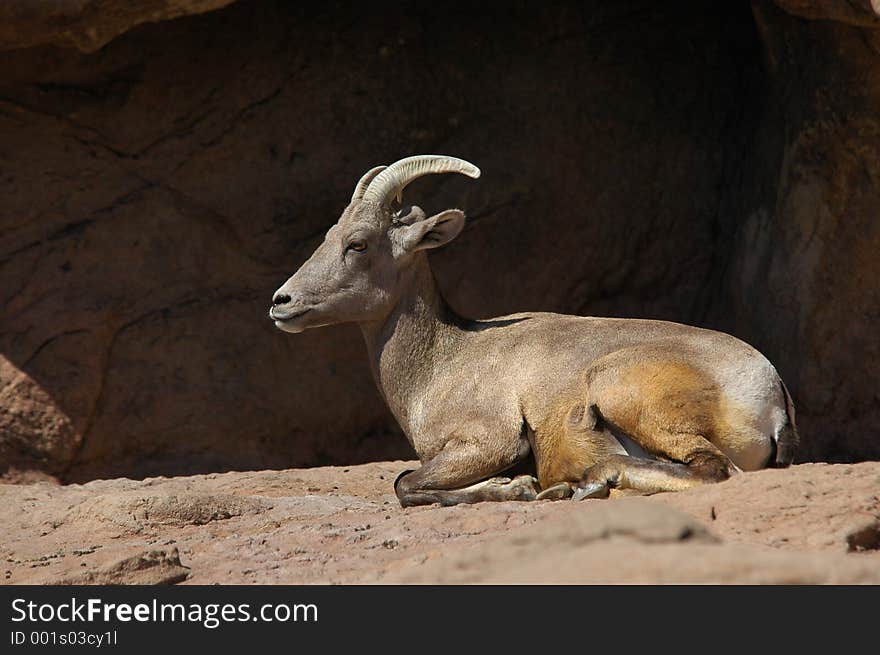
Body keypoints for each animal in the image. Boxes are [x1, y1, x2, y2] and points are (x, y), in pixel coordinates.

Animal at [270, 155, 796, 508]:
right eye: (329, 237)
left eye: (358, 244)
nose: (282, 302)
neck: (442, 363)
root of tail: (771, 393)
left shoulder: (487, 442)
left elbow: (405, 484)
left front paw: (519, 486)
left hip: (622, 389)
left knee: (714, 471)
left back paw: (588, 483)